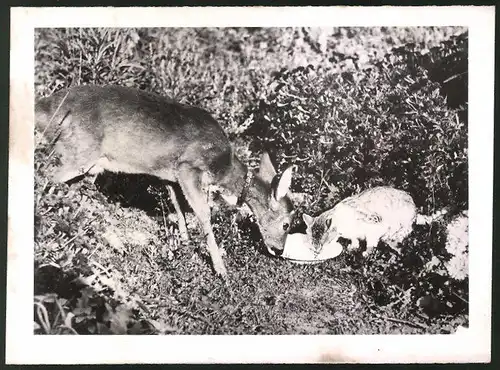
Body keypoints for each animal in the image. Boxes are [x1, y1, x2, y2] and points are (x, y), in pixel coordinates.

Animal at [39, 85, 298, 278]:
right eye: (287, 224)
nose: (278, 250)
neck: (223, 167)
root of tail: (49, 106)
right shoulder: (188, 168)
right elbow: (203, 215)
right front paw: (221, 270)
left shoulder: (170, 177)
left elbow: (179, 210)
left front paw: (184, 244)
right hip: (77, 152)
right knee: (46, 175)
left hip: (87, 162)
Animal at [302, 185, 448, 258]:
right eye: (312, 241)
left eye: (322, 242)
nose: (316, 251)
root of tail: (416, 210)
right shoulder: (354, 234)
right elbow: (355, 240)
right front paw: (353, 247)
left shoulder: (374, 228)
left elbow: (371, 243)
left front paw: (366, 252)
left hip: (402, 222)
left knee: (402, 233)